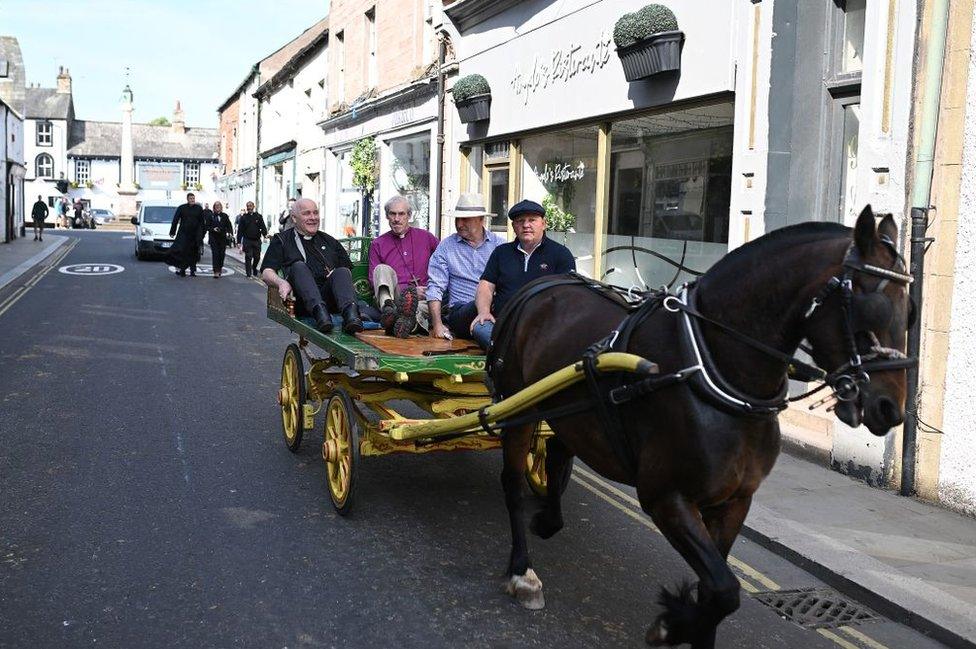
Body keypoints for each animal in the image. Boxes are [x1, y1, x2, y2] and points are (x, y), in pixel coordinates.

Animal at [488, 208, 916, 648]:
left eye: (911, 310)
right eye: (868, 306)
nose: (890, 409)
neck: (713, 369)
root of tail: (541, 285)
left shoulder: (734, 501)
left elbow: (715, 594)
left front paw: (684, 620)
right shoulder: (667, 498)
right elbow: (726, 590)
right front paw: (672, 623)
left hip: (569, 412)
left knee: (558, 452)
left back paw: (548, 519)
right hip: (515, 405)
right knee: (513, 483)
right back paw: (522, 571)